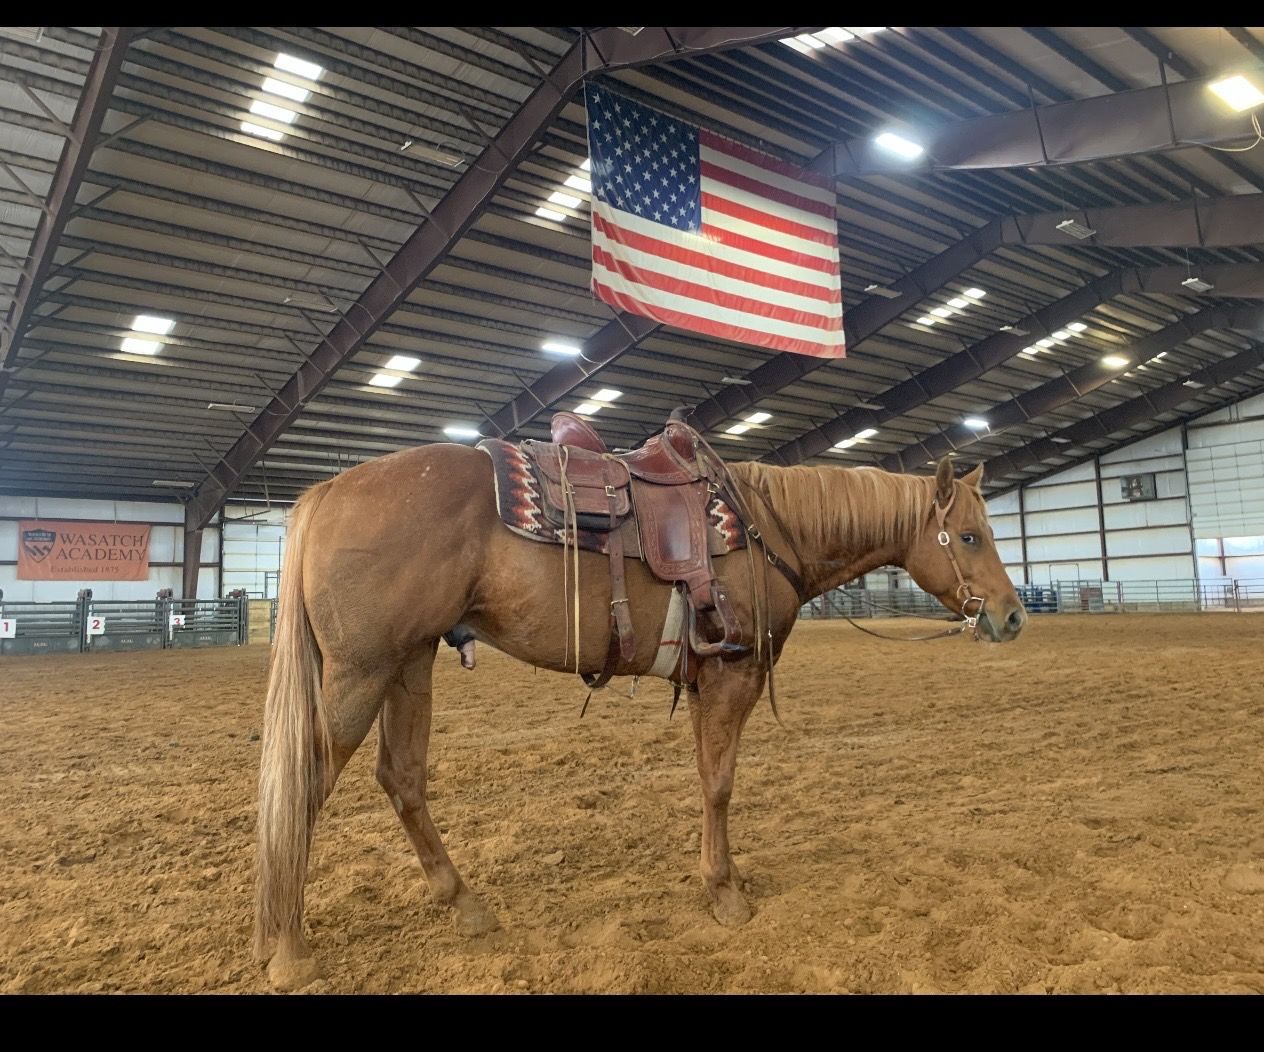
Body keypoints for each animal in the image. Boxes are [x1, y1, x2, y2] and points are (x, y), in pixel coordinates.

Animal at [253, 445, 1025, 989]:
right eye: (969, 537)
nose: (1012, 616)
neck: (767, 528)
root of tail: (330, 491)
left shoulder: (706, 680)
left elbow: (708, 778)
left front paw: (719, 878)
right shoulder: (732, 675)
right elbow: (720, 784)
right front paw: (726, 894)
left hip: (410, 663)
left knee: (402, 778)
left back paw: (465, 906)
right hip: (361, 672)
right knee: (304, 789)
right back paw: (289, 948)